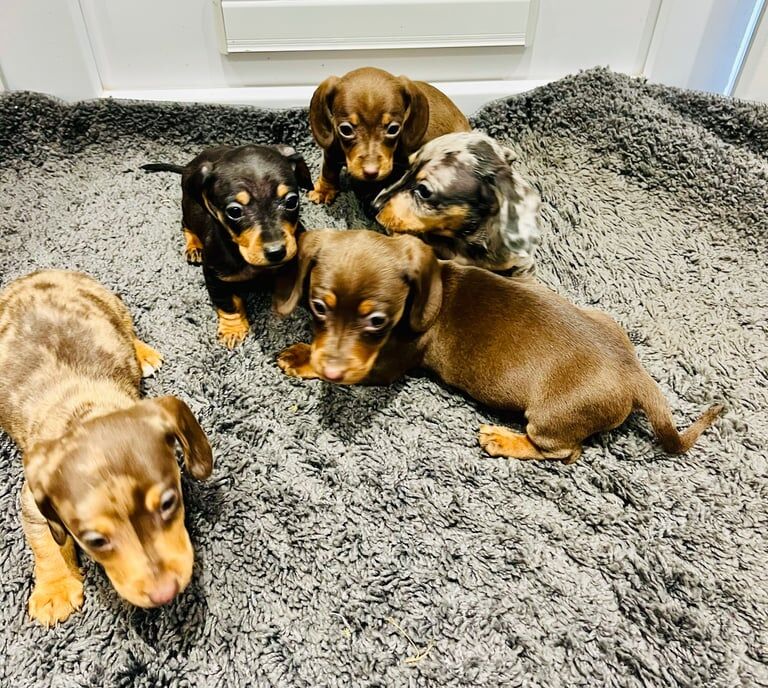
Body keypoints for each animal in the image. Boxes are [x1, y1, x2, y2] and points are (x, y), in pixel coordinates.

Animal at [0, 272, 213, 628]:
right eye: (95, 541)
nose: (165, 593)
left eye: (169, 503)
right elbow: (45, 540)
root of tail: (37, 275)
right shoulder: (32, 498)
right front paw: (55, 588)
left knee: (126, 327)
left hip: (111, 303)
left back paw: (142, 353)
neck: (85, 411)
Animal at [142, 146, 314, 350]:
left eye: (291, 201)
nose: (276, 252)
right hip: (190, 208)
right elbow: (227, 304)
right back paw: (194, 246)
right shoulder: (215, 276)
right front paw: (233, 329)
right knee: (186, 224)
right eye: (234, 211)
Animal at [274, 230, 720, 462]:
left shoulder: (385, 365)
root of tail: (633, 375)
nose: (332, 370)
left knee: (563, 452)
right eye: (318, 306)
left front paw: (300, 359)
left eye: (377, 321)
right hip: (609, 322)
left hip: (551, 416)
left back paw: (503, 440)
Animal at [308, 69, 472, 211]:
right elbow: (329, 171)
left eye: (393, 129)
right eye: (345, 129)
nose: (371, 172)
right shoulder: (331, 150)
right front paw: (324, 190)